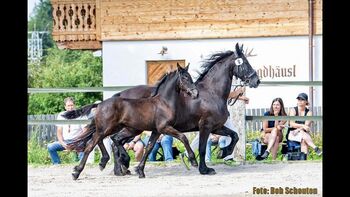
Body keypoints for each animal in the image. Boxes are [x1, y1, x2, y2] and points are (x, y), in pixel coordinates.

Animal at [64, 64, 198, 180]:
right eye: (185, 78)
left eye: (190, 77)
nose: (195, 93)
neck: (164, 103)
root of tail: (100, 104)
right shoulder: (164, 128)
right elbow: (183, 137)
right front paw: (193, 161)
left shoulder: (156, 131)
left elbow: (149, 147)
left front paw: (140, 171)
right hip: (107, 128)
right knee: (91, 145)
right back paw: (77, 172)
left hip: (118, 129)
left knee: (109, 139)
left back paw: (111, 163)